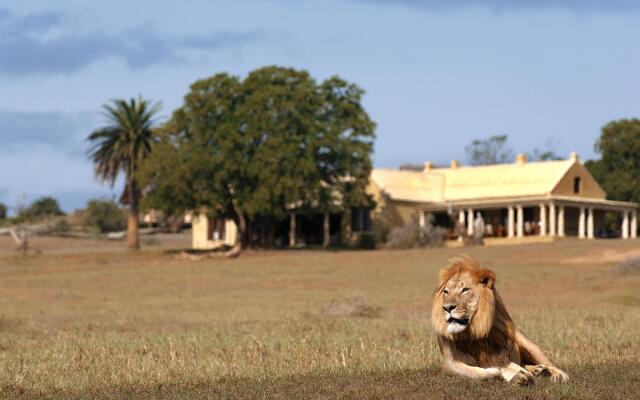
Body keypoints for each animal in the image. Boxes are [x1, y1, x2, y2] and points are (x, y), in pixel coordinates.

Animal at [432, 256, 568, 384]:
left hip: (528, 344)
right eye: (446, 291)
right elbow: (477, 372)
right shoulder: (449, 363)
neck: (473, 331)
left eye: (465, 290)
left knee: (547, 362)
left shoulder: (500, 356)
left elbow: (509, 366)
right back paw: (538, 370)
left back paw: (557, 374)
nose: (447, 308)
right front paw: (507, 374)